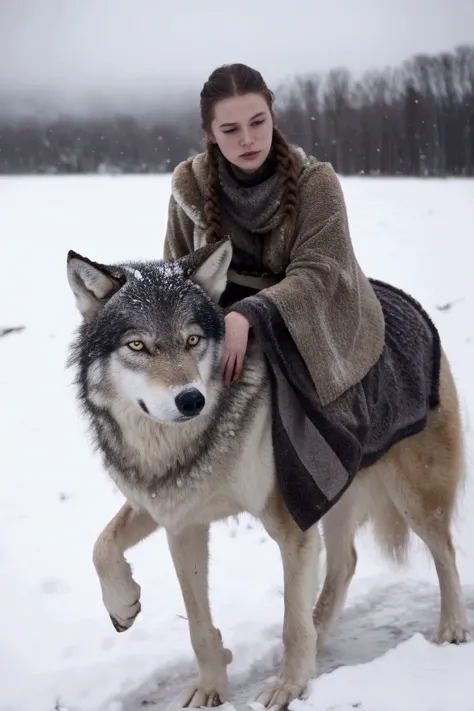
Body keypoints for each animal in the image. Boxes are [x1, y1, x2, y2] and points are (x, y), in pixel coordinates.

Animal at [66, 238, 470, 708]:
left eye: (192, 340)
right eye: (137, 346)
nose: (191, 400)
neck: (183, 448)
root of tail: (404, 300)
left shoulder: (290, 523)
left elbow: (291, 623)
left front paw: (289, 687)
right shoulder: (177, 517)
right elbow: (109, 552)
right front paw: (195, 671)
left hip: (413, 497)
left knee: (445, 553)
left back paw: (452, 628)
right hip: (335, 494)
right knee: (345, 562)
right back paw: (322, 633)